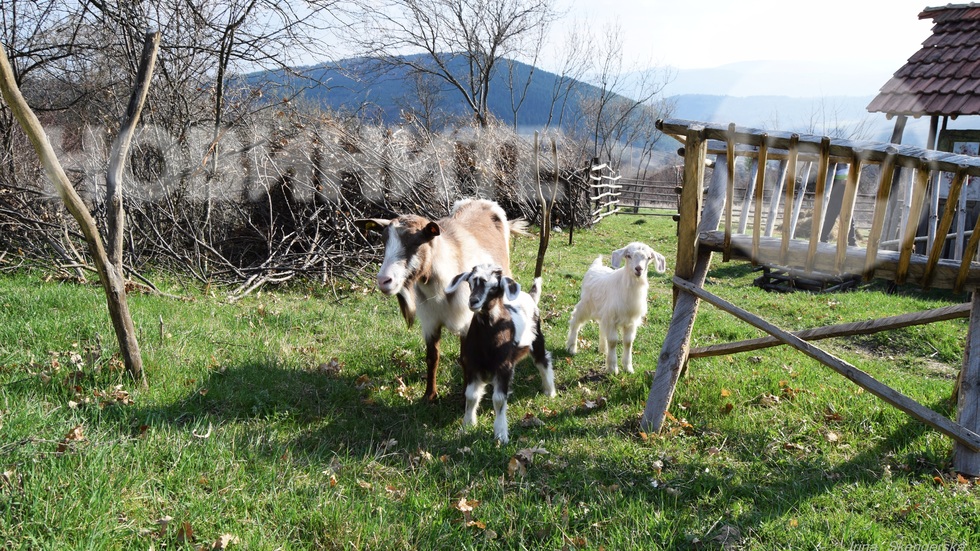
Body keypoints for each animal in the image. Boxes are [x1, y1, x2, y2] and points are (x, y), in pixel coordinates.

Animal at [356, 198, 524, 402]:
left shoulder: (466, 322)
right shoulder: (431, 322)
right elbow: (432, 357)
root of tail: (482, 201)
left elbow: (465, 358)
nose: (383, 280)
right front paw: (429, 395)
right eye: (384, 241)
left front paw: (464, 396)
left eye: (416, 242)